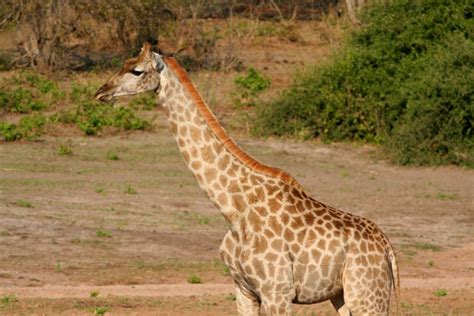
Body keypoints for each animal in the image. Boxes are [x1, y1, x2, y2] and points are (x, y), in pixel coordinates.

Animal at [94, 42, 398, 316]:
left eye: (136, 71)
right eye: (123, 64)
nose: (101, 92)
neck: (233, 208)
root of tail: (388, 249)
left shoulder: (277, 292)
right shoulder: (243, 290)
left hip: (367, 294)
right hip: (342, 295)